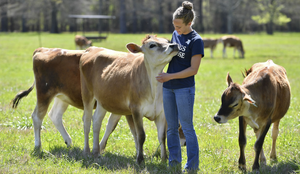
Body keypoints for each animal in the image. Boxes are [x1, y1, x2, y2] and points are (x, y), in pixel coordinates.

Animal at [78, 34, 179, 164]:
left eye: (168, 41)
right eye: (152, 45)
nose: (174, 45)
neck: (153, 88)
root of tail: (91, 49)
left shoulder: (161, 112)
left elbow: (162, 136)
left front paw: (164, 159)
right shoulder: (136, 110)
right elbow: (140, 135)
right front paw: (140, 159)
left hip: (102, 100)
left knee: (96, 121)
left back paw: (96, 152)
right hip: (87, 93)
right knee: (87, 121)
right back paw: (87, 151)